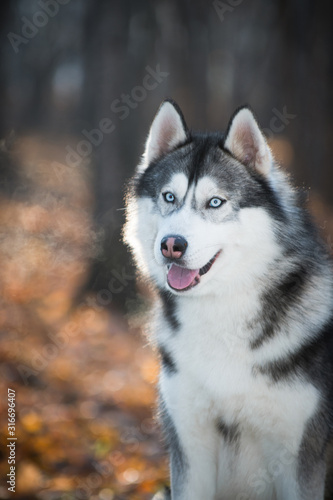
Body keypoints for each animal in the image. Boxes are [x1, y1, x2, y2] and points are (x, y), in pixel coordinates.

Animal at [123, 98, 332, 500]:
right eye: (169, 197)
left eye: (215, 202)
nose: (171, 245)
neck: (221, 313)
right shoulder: (189, 448)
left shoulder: (299, 459)